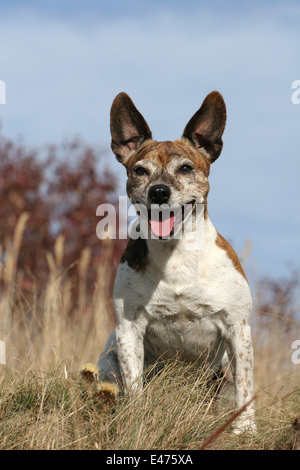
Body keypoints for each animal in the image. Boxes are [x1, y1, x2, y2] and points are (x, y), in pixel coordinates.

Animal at [82, 91, 255, 434]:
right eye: (139, 170)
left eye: (186, 168)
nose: (159, 192)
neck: (176, 255)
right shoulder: (128, 330)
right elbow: (134, 384)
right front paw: (136, 419)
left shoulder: (238, 329)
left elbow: (245, 388)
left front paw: (245, 431)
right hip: (109, 355)